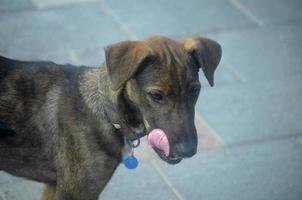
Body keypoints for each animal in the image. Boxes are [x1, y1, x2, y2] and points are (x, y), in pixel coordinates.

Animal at [0, 36, 222, 200]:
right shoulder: (72, 193)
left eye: (195, 91)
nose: (188, 151)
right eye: (156, 95)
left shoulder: (54, 186)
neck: (108, 116)